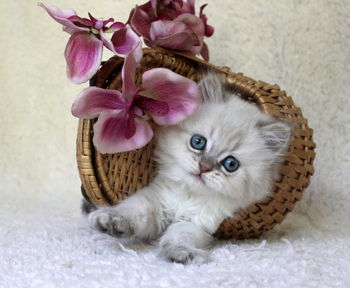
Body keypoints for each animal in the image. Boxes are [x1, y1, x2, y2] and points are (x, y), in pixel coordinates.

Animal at [85, 73, 292, 264]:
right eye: (198, 142)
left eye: (231, 164)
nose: (204, 167)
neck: (188, 195)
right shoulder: (155, 201)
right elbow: (132, 211)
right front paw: (110, 220)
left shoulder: (197, 223)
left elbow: (178, 236)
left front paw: (182, 253)